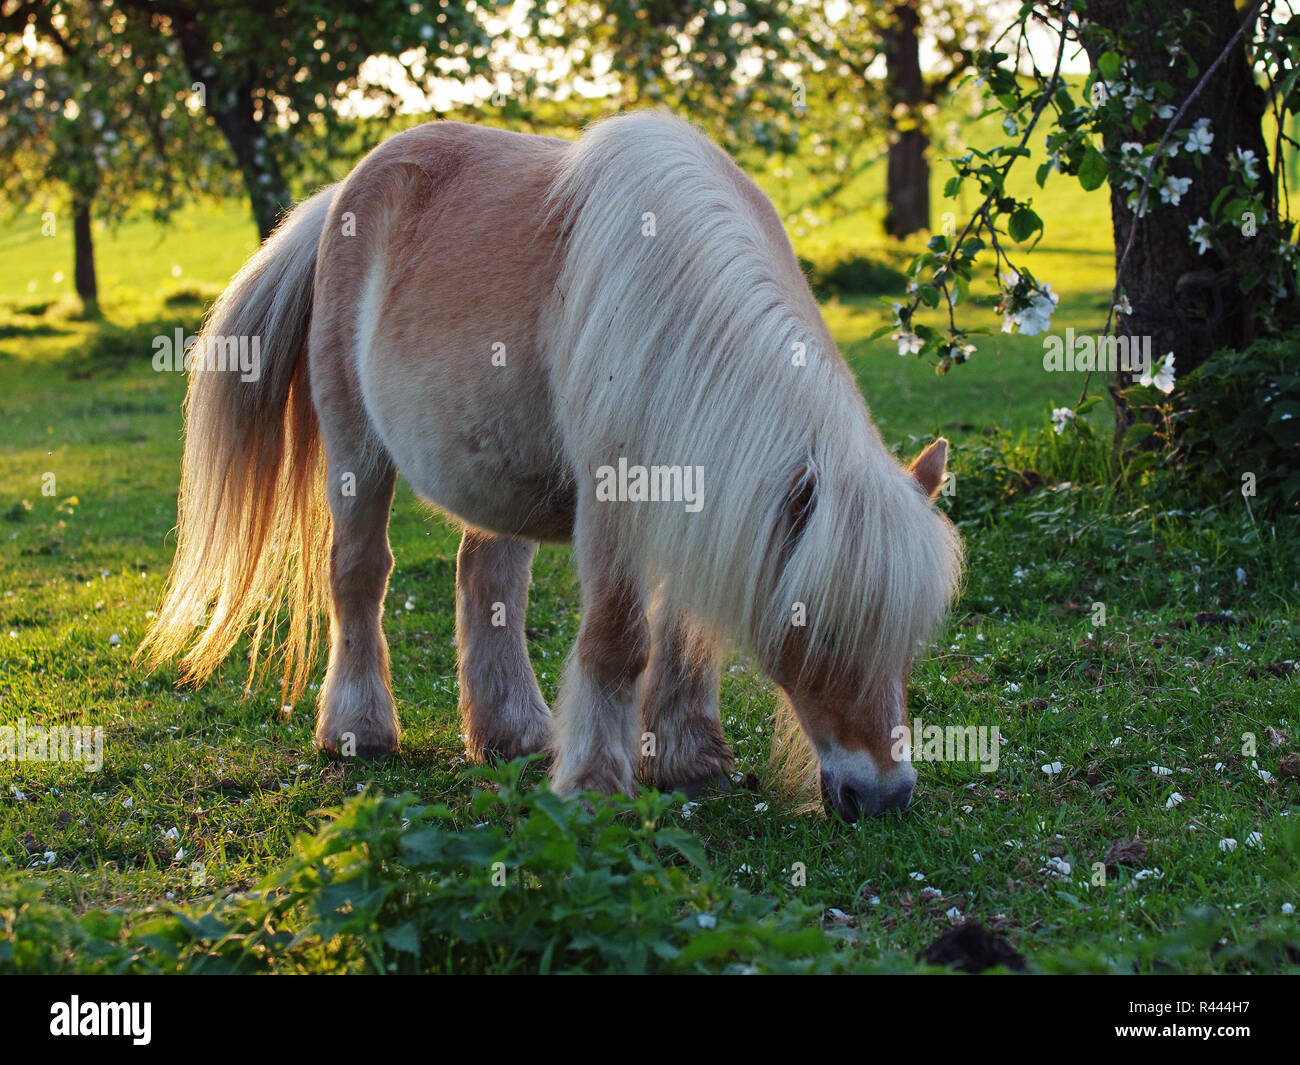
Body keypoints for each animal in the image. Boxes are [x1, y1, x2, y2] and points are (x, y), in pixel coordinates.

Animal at [144, 112, 967, 821]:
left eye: (908, 642)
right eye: (818, 631)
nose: (884, 795)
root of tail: (343, 192)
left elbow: (685, 631)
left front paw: (686, 757)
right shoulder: (616, 499)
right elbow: (618, 640)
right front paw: (596, 785)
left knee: (486, 578)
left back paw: (511, 733)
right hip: (355, 447)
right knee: (358, 573)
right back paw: (360, 729)